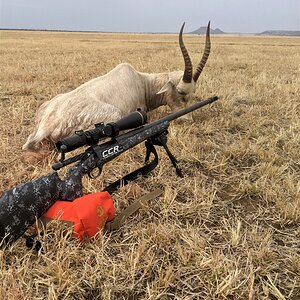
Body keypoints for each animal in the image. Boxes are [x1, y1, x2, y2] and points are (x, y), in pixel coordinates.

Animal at [21, 21, 211, 162]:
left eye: (193, 94)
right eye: (181, 92)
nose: (188, 120)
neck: (142, 81)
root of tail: (47, 124)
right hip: (113, 116)